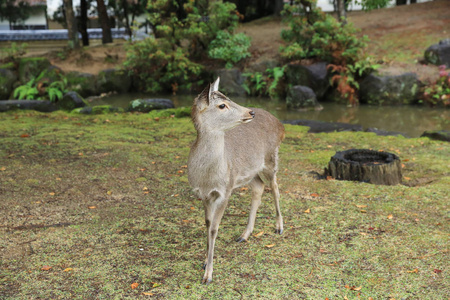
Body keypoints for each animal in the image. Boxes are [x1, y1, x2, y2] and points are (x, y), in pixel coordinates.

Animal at [186, 77, 284, 284]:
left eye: (229, 98)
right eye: (222, 105)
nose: (250, 112)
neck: (207, 177)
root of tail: (281, 125)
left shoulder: (225, 190)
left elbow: (214, 229)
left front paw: (208, 275)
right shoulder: (203, 194)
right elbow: (207, 225)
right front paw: (205, 263)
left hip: (271, 158)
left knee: (275, 187)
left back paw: (279, 227)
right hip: (249, 172)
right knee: (259, 187)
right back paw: (244, 235)